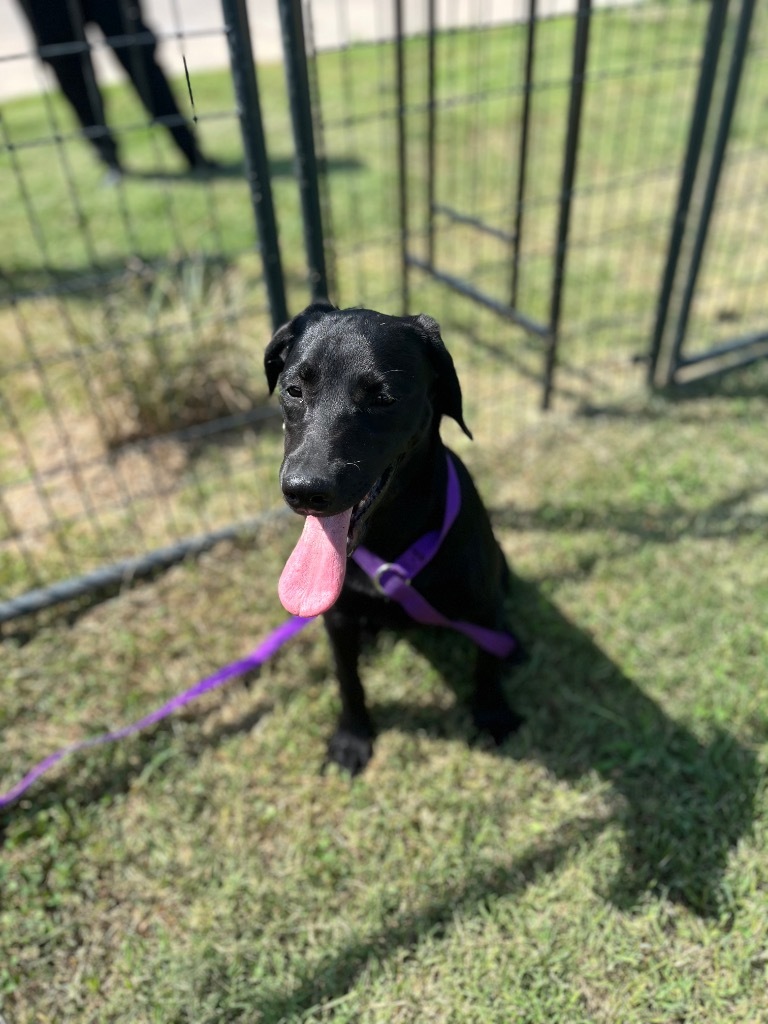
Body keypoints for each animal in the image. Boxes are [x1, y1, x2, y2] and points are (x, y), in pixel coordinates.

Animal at [264, 299, 524, 770]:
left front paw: (494, 714)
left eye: (383, 398)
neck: (389, 541)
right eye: (294, 390)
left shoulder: (481, 601)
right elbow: (348, 680)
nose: (305, 490)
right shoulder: (338, 619)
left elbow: (487, 663)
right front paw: (353, 737)